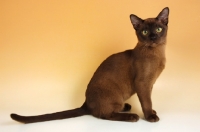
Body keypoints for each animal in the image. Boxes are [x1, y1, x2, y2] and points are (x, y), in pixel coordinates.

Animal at [9, 6, 169, 122]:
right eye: (145, 32)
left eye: (158, 29)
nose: (153, 37)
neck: (157, 54)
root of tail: (85, 103)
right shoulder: (143, 83)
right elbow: (146, 102)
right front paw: (150, 116)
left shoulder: (150, 84)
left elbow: (148, 100)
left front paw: (152, 112)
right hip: (114, 95)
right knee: (104, 114)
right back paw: (131, 116)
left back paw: (127, 107)